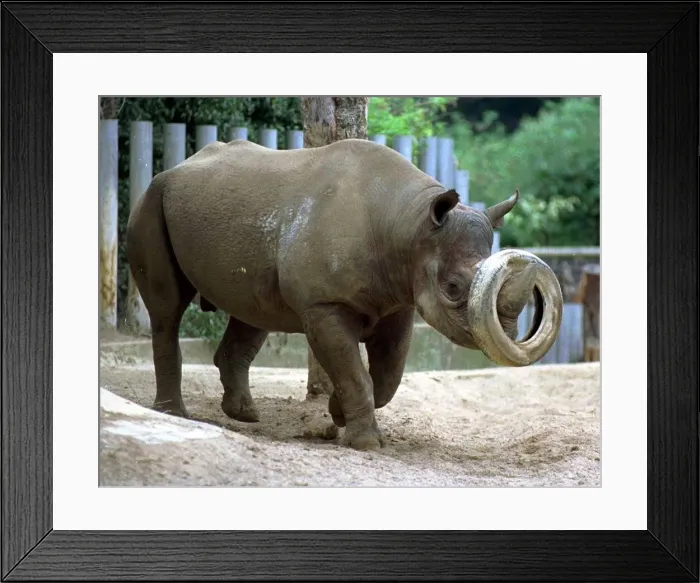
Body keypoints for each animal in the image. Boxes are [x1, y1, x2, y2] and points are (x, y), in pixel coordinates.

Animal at [126, 138, 562, 451]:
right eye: (454, 288)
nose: (508, 332)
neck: (411, 227)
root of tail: (176, 167)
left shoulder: (399, 300)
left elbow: (387, 376)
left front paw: (336, 414)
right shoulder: (325, 304)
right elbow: (356, 373)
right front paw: (365, 443)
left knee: (252, 312)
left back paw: (245, 416)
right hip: (151, 200)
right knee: (168, 309)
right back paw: (176, 414)